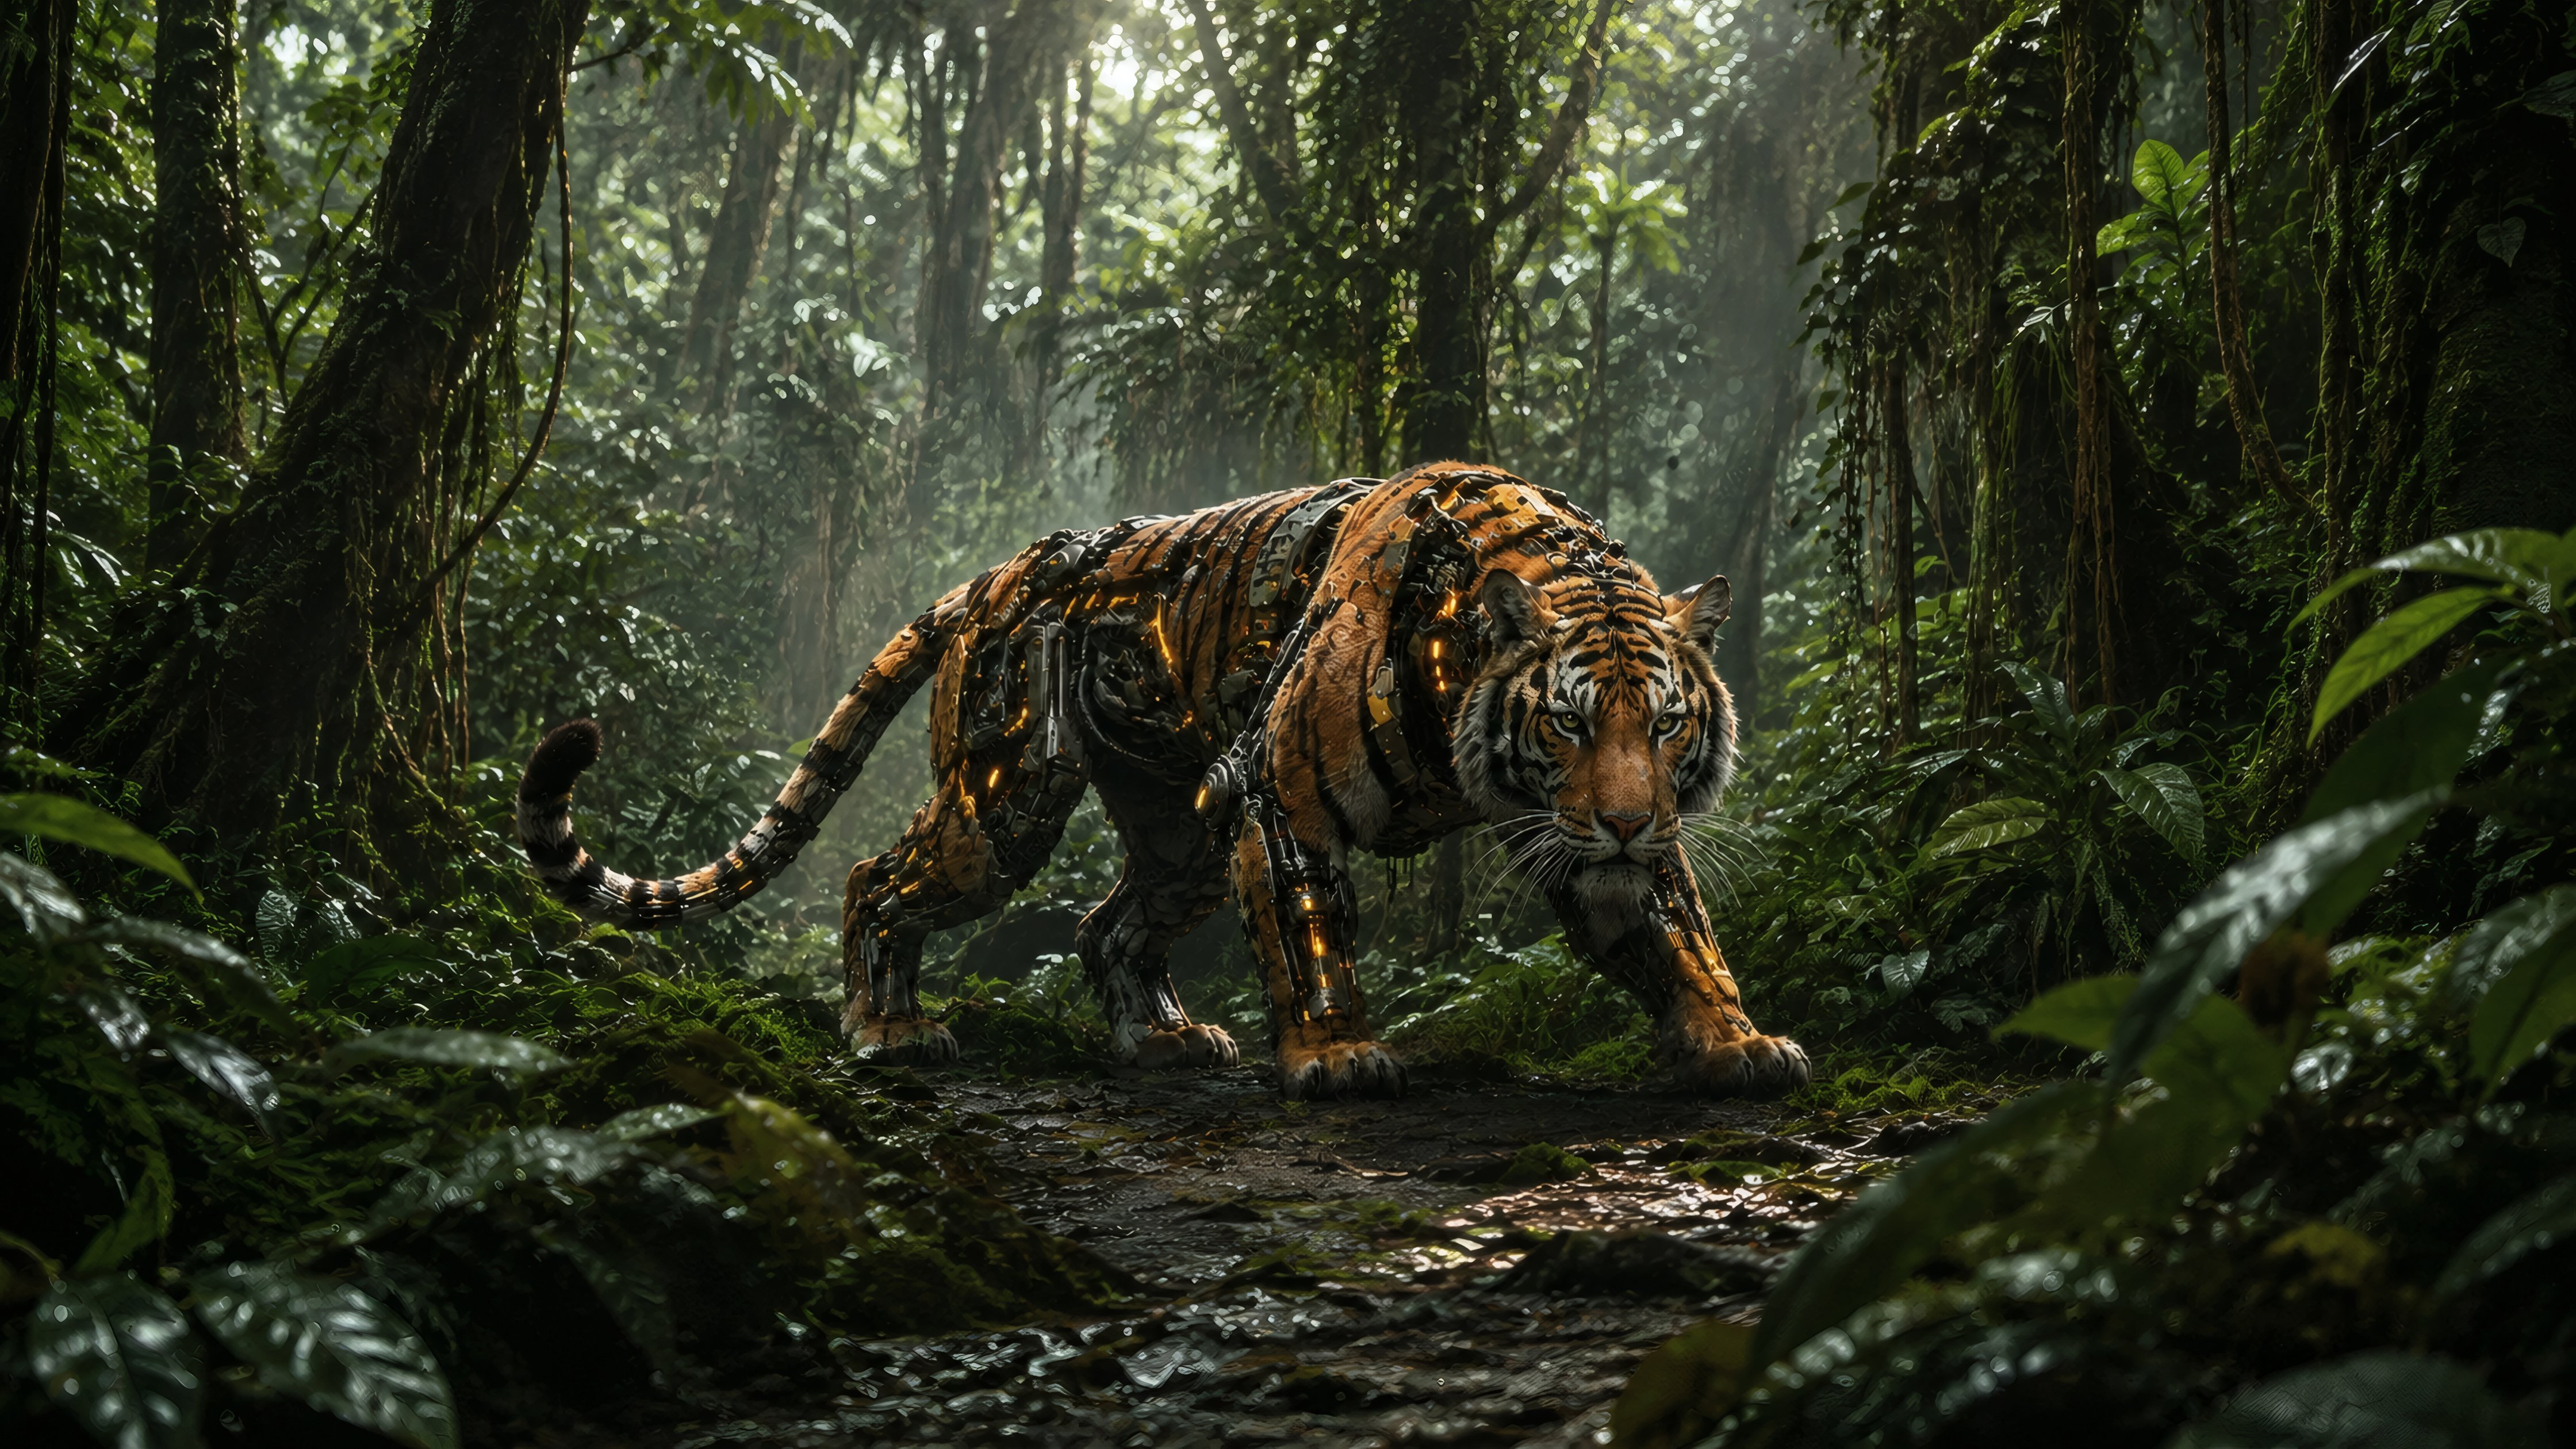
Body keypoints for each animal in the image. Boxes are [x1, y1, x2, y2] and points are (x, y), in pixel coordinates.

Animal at [515, 461, 1812, 1100]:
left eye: (1667, 724)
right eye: (1569, 723)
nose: (1628, 817)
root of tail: (1008, 566)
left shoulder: (1597, 844)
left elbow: (1676, 934)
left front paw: (1735, 1042)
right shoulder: (1279, 793)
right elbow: (1312, 934)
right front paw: (1338, 1057)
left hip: (1176, 831)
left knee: (1104, 926)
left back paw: (1165, 1042)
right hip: (1004, 805)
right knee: (877, 878)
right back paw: (888, 1029)